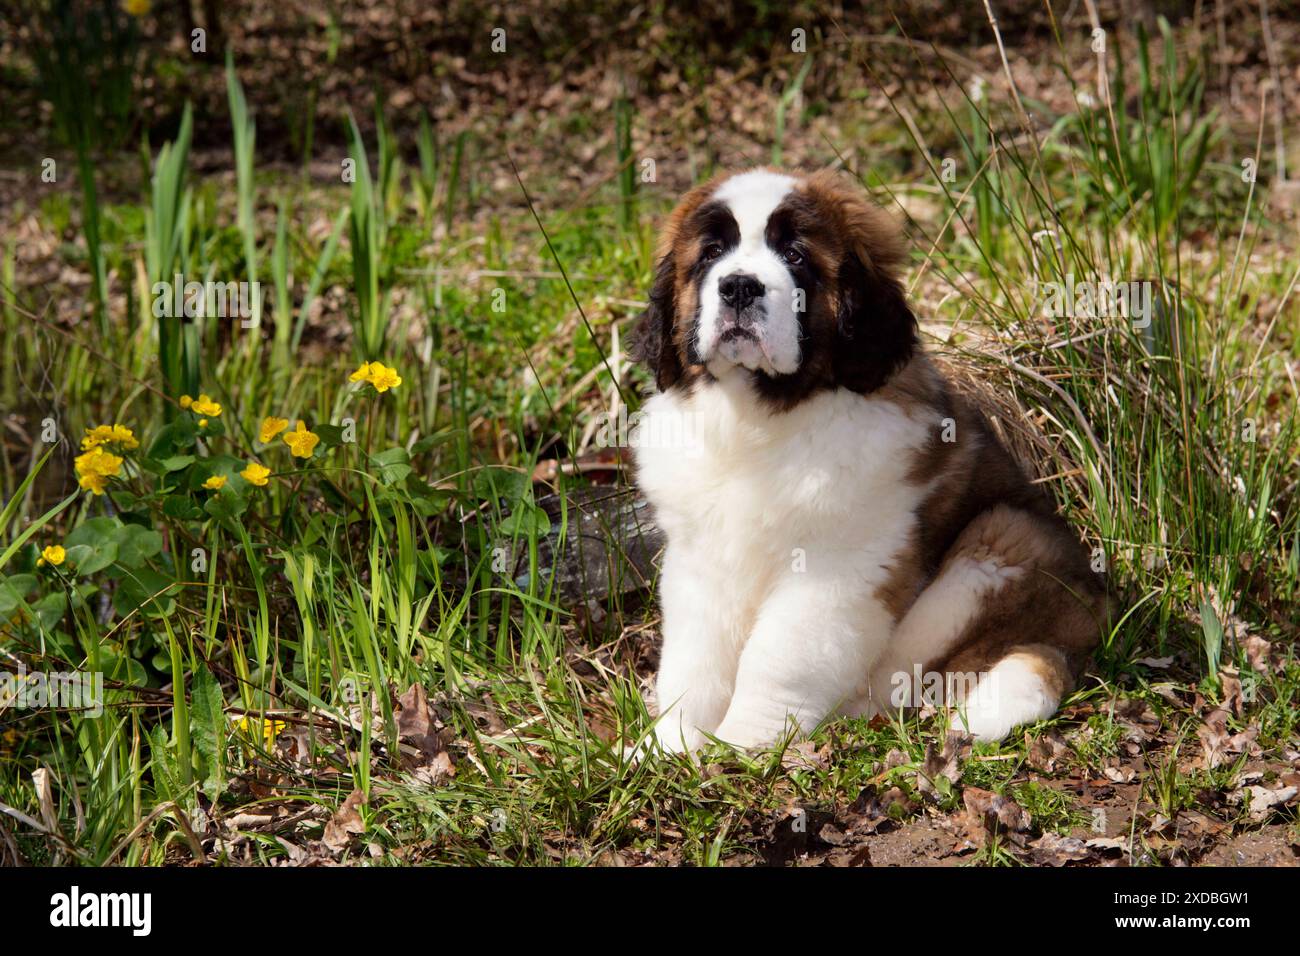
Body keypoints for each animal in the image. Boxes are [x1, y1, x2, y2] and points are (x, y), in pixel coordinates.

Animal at [629, 171, 1107, 754]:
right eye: (712, 253)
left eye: (795, 255)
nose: (739, 286)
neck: (761, 416)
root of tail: (1095, 621)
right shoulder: (701, 558)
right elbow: (694, 660)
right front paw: (669, 748)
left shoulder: (836, 568)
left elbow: (777, 659)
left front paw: (745, 747)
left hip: (1009, 538)